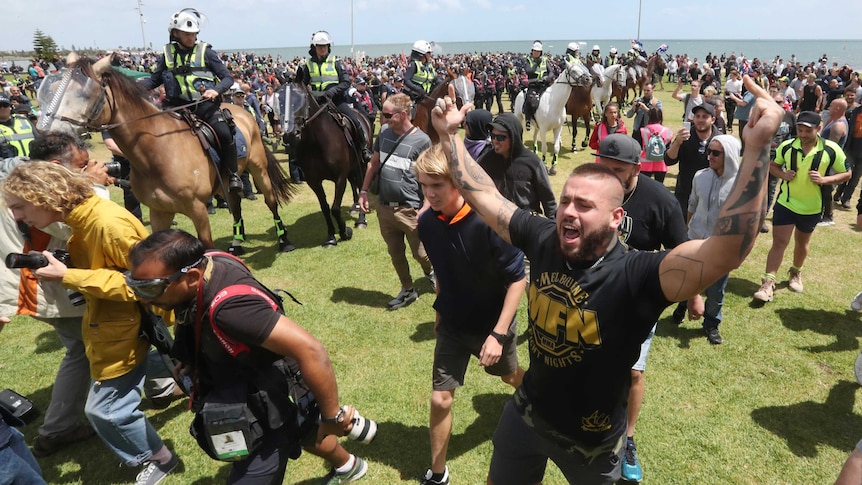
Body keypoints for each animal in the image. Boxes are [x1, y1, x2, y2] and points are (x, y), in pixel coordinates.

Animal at [38, 53, 296, 253]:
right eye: (49, 90)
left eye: (83, 94)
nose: (45, 135)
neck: (158, 153)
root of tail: (242, 112)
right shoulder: (159, 212)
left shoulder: (198, 209)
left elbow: (208, 249)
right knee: (236, 205)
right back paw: (237, 242)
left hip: (258, 170)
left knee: (271, 202)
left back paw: (284, 241)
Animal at [284, 82, 372, 246]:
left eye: (302, 101)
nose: (290, 135)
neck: (316, 143)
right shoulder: (314, 181)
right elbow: (325, 208)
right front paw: (331, 237)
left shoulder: (340, 177)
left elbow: (335, 208)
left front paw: (344, 231)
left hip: (361, 164)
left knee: (361, 184)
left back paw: (361, 219)